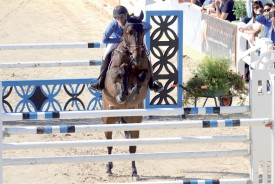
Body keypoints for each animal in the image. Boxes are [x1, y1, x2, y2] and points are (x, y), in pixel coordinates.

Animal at [102, 10, 152, 179]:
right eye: (128, 32)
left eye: (142, 31)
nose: (136, 57)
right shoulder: (113, 74)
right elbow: (122, 71)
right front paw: (123, 94)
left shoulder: (145, 72)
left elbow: (143, 76)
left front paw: (133, 91)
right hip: (108, 119)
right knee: (109, 144)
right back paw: (109, 168)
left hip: (134, 121)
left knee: (132, 148)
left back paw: (134, 172)